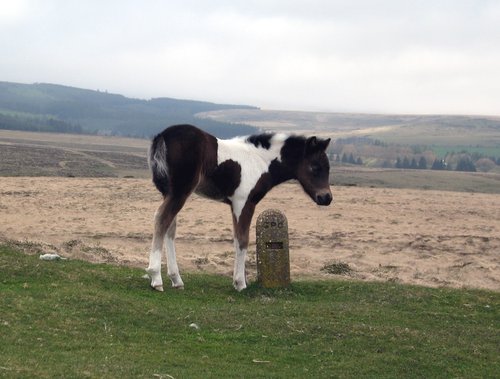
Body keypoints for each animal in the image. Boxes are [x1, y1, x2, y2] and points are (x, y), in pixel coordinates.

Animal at [145, 124, 332, 290]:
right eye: (315, 167)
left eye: (328, 168)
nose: (326, 198)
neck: (261, 160)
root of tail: (163, 135)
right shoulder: (244, 203)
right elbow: (243, 240)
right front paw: (240, 283)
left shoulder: (235, 205)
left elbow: (236, 240)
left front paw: (238, 280)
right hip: (180, 191)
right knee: (161, 218)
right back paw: (156, 278)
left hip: (169, 192)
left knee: (169, 227)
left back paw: (176, 279)